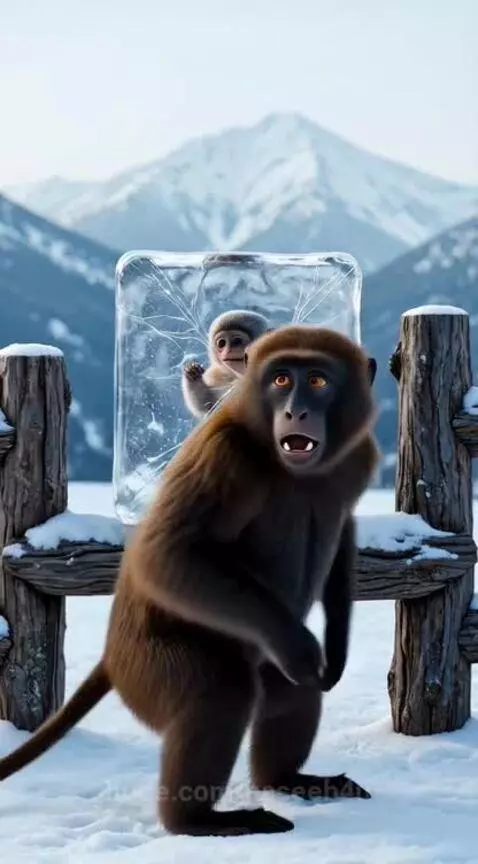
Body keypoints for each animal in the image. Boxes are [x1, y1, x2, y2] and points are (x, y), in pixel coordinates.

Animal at [0, 324, 379, 838]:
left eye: (318, 381)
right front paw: (302, 648)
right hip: (150, 665)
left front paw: (335, 645)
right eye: (282, 379)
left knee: (287, 689)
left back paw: (284, 778)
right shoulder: (226, 459)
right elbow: (166, 553)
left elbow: (344, 533)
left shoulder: (358, 457)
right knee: (220, 692)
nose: (295, 411)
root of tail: (113, 658)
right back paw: (194, 819)